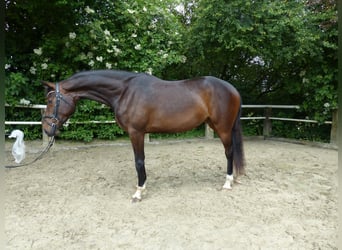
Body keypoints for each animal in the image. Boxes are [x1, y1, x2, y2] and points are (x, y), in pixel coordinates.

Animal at [42, 70, 244, 201]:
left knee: (229, 152)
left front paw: (139, 192)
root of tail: (232, 89)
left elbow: (139, 161)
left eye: (51, 100)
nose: (46, 128)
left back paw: (227, 182)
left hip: (223, 128)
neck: (125, 92)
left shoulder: (136, 132)